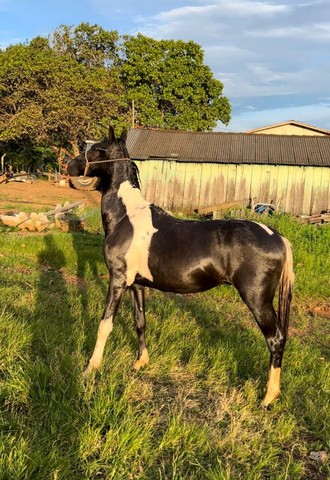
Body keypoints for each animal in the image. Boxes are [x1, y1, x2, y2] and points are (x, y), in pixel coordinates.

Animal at [67, 125, 294, 406]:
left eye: (96, 148)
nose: (70, 166)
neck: (126, 217)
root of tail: (277, 236)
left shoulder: (118, 280)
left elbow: (105, 324)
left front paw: (90, 368)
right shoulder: (136, 285)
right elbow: (140, 321)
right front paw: (141, 362)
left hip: (258, 300)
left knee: (275, 340)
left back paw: (268, 397)